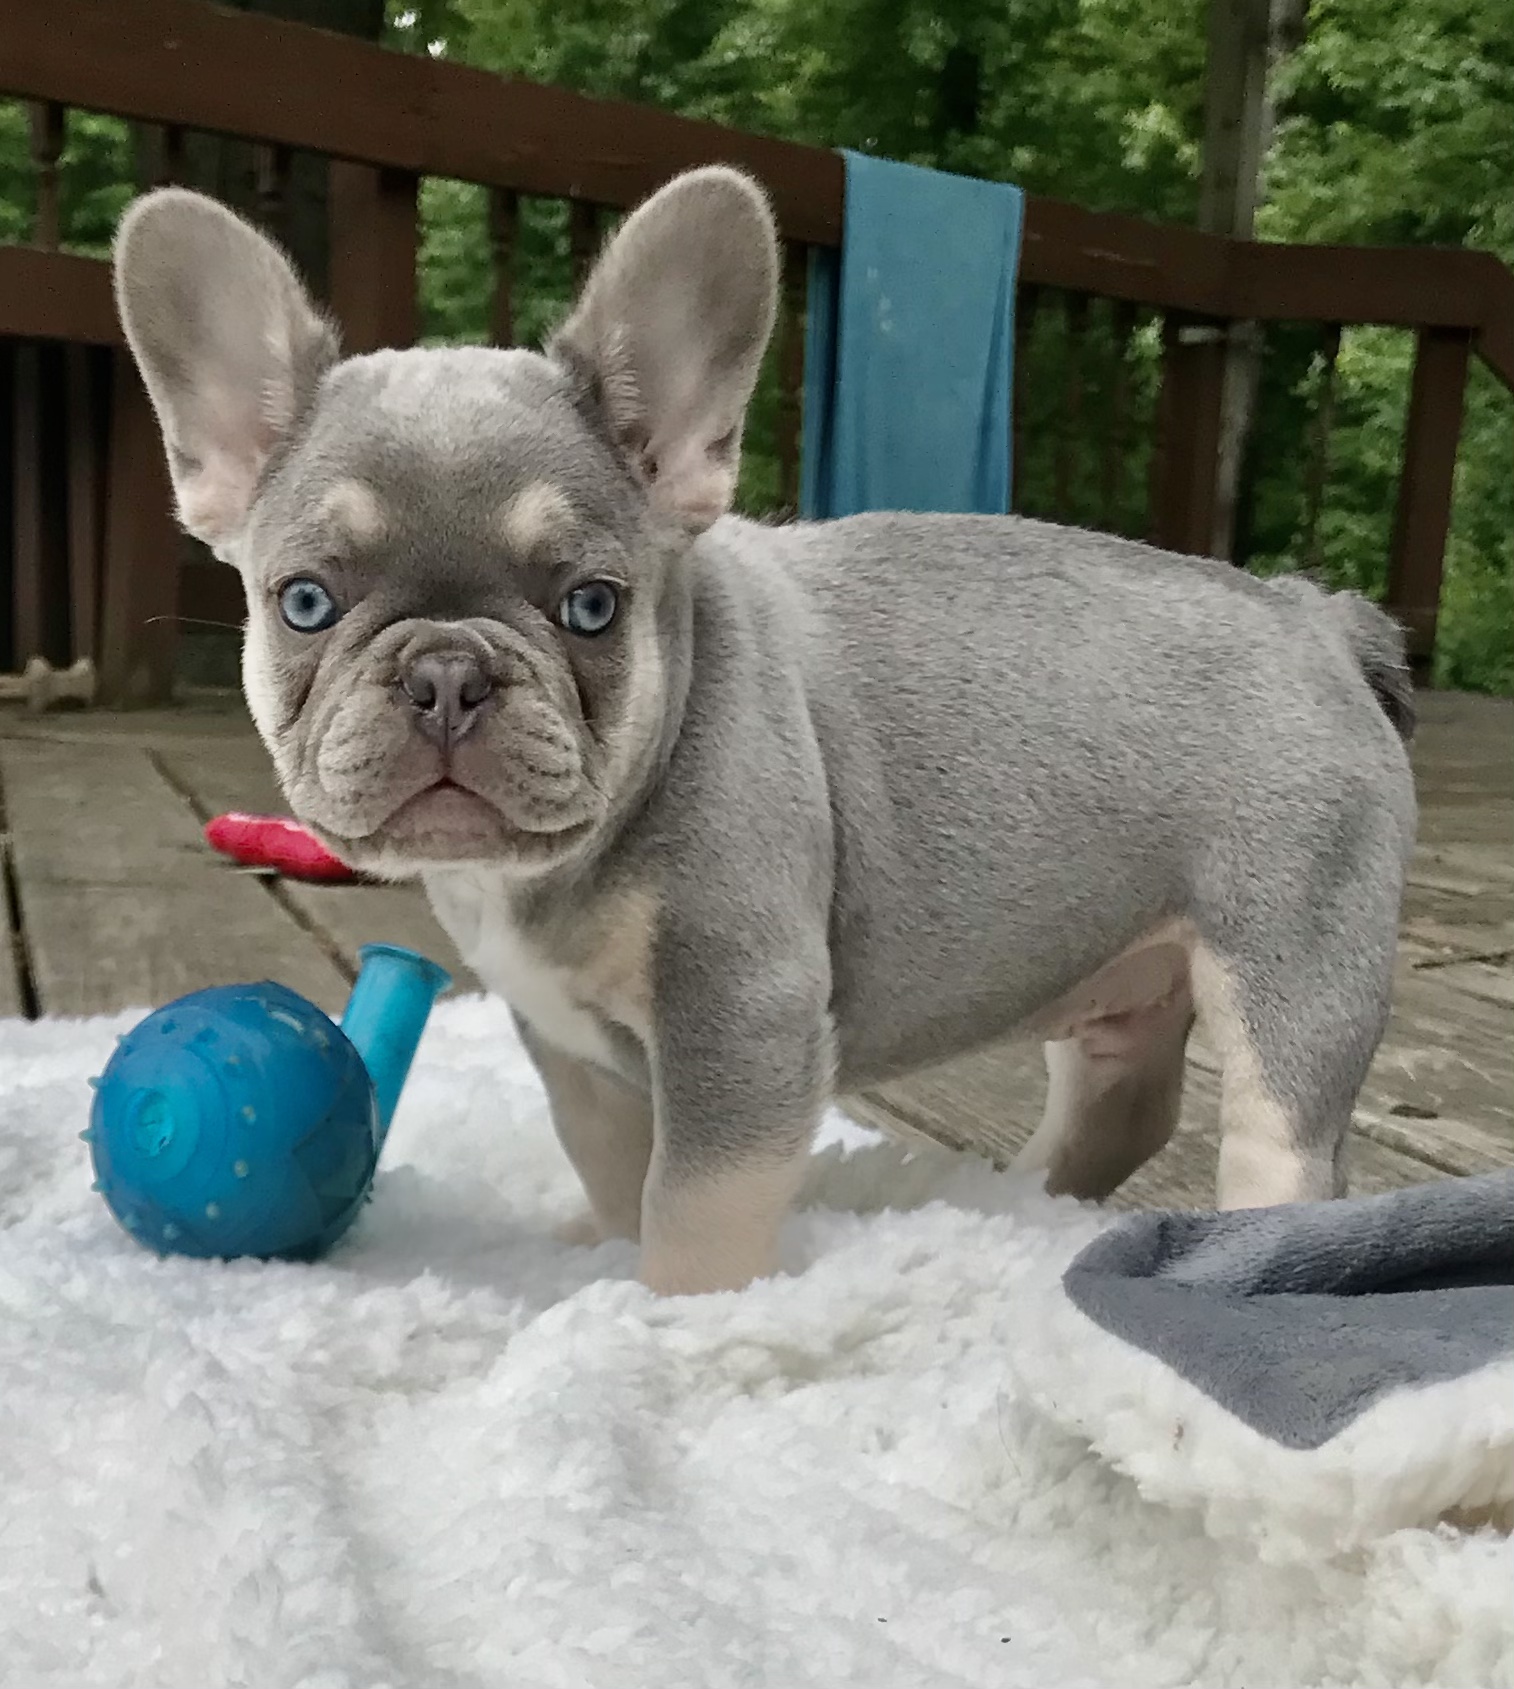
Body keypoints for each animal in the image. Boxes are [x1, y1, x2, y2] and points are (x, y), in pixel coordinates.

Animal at [109, 164, 1419, 1290]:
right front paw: (594, 1251)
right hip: (1115, 979)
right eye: (305, 603)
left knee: (1284, 1140)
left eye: (591, 607)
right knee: (1119, 1104)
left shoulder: (737, 1011)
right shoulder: (569, 1046)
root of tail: (1315, 618)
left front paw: (672, 1313)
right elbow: (611, 1161)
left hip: (1289, 964)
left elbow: (695, 1199)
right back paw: (1003, 1208)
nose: (443, 673)